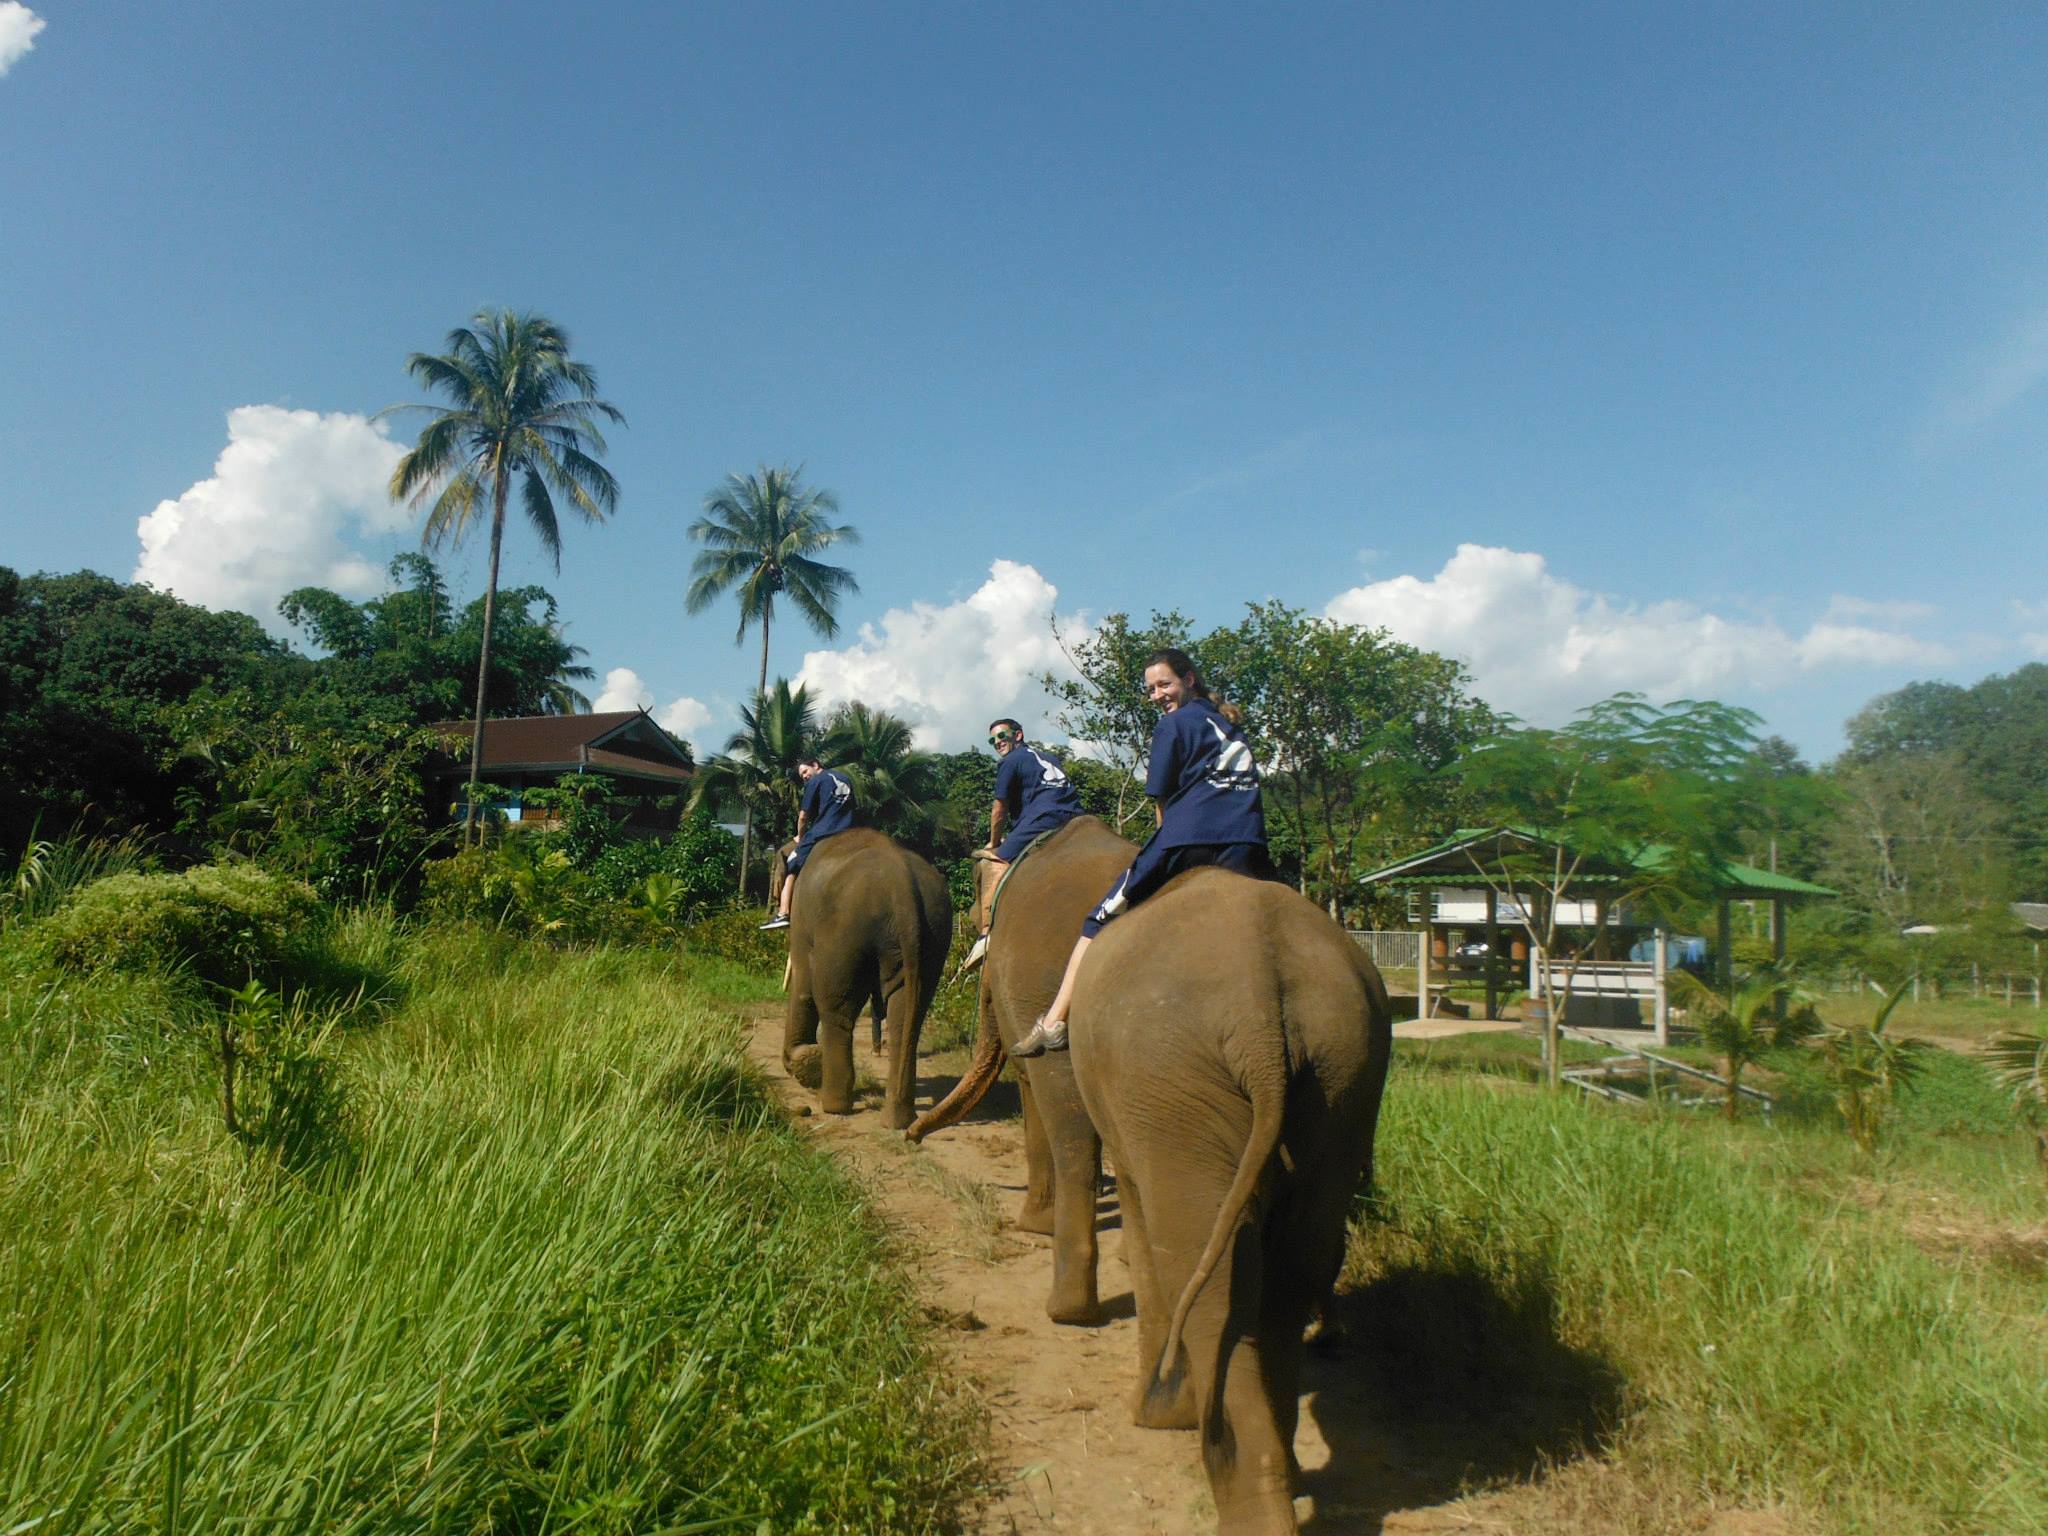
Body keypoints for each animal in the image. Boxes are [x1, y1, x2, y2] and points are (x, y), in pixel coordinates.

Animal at [780, 827, 952, 1131]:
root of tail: (901, 885)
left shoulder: (802, 917)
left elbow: (802, 979)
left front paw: (802, 1063)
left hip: (842, 930)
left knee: (836, 1008)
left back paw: (833, 1105)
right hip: (933, 933)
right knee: (907, 1013)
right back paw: (897, 1120)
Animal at [1070, 868, 1392, 1535]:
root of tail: (1262, 1011)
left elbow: (1148, 1231)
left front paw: (1156, 1417)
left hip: (1172, 1086)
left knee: (1211, 1275)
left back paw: (1237, 1487)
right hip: (1343, 1072)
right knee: (1290, 1271)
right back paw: (1281, 1474)